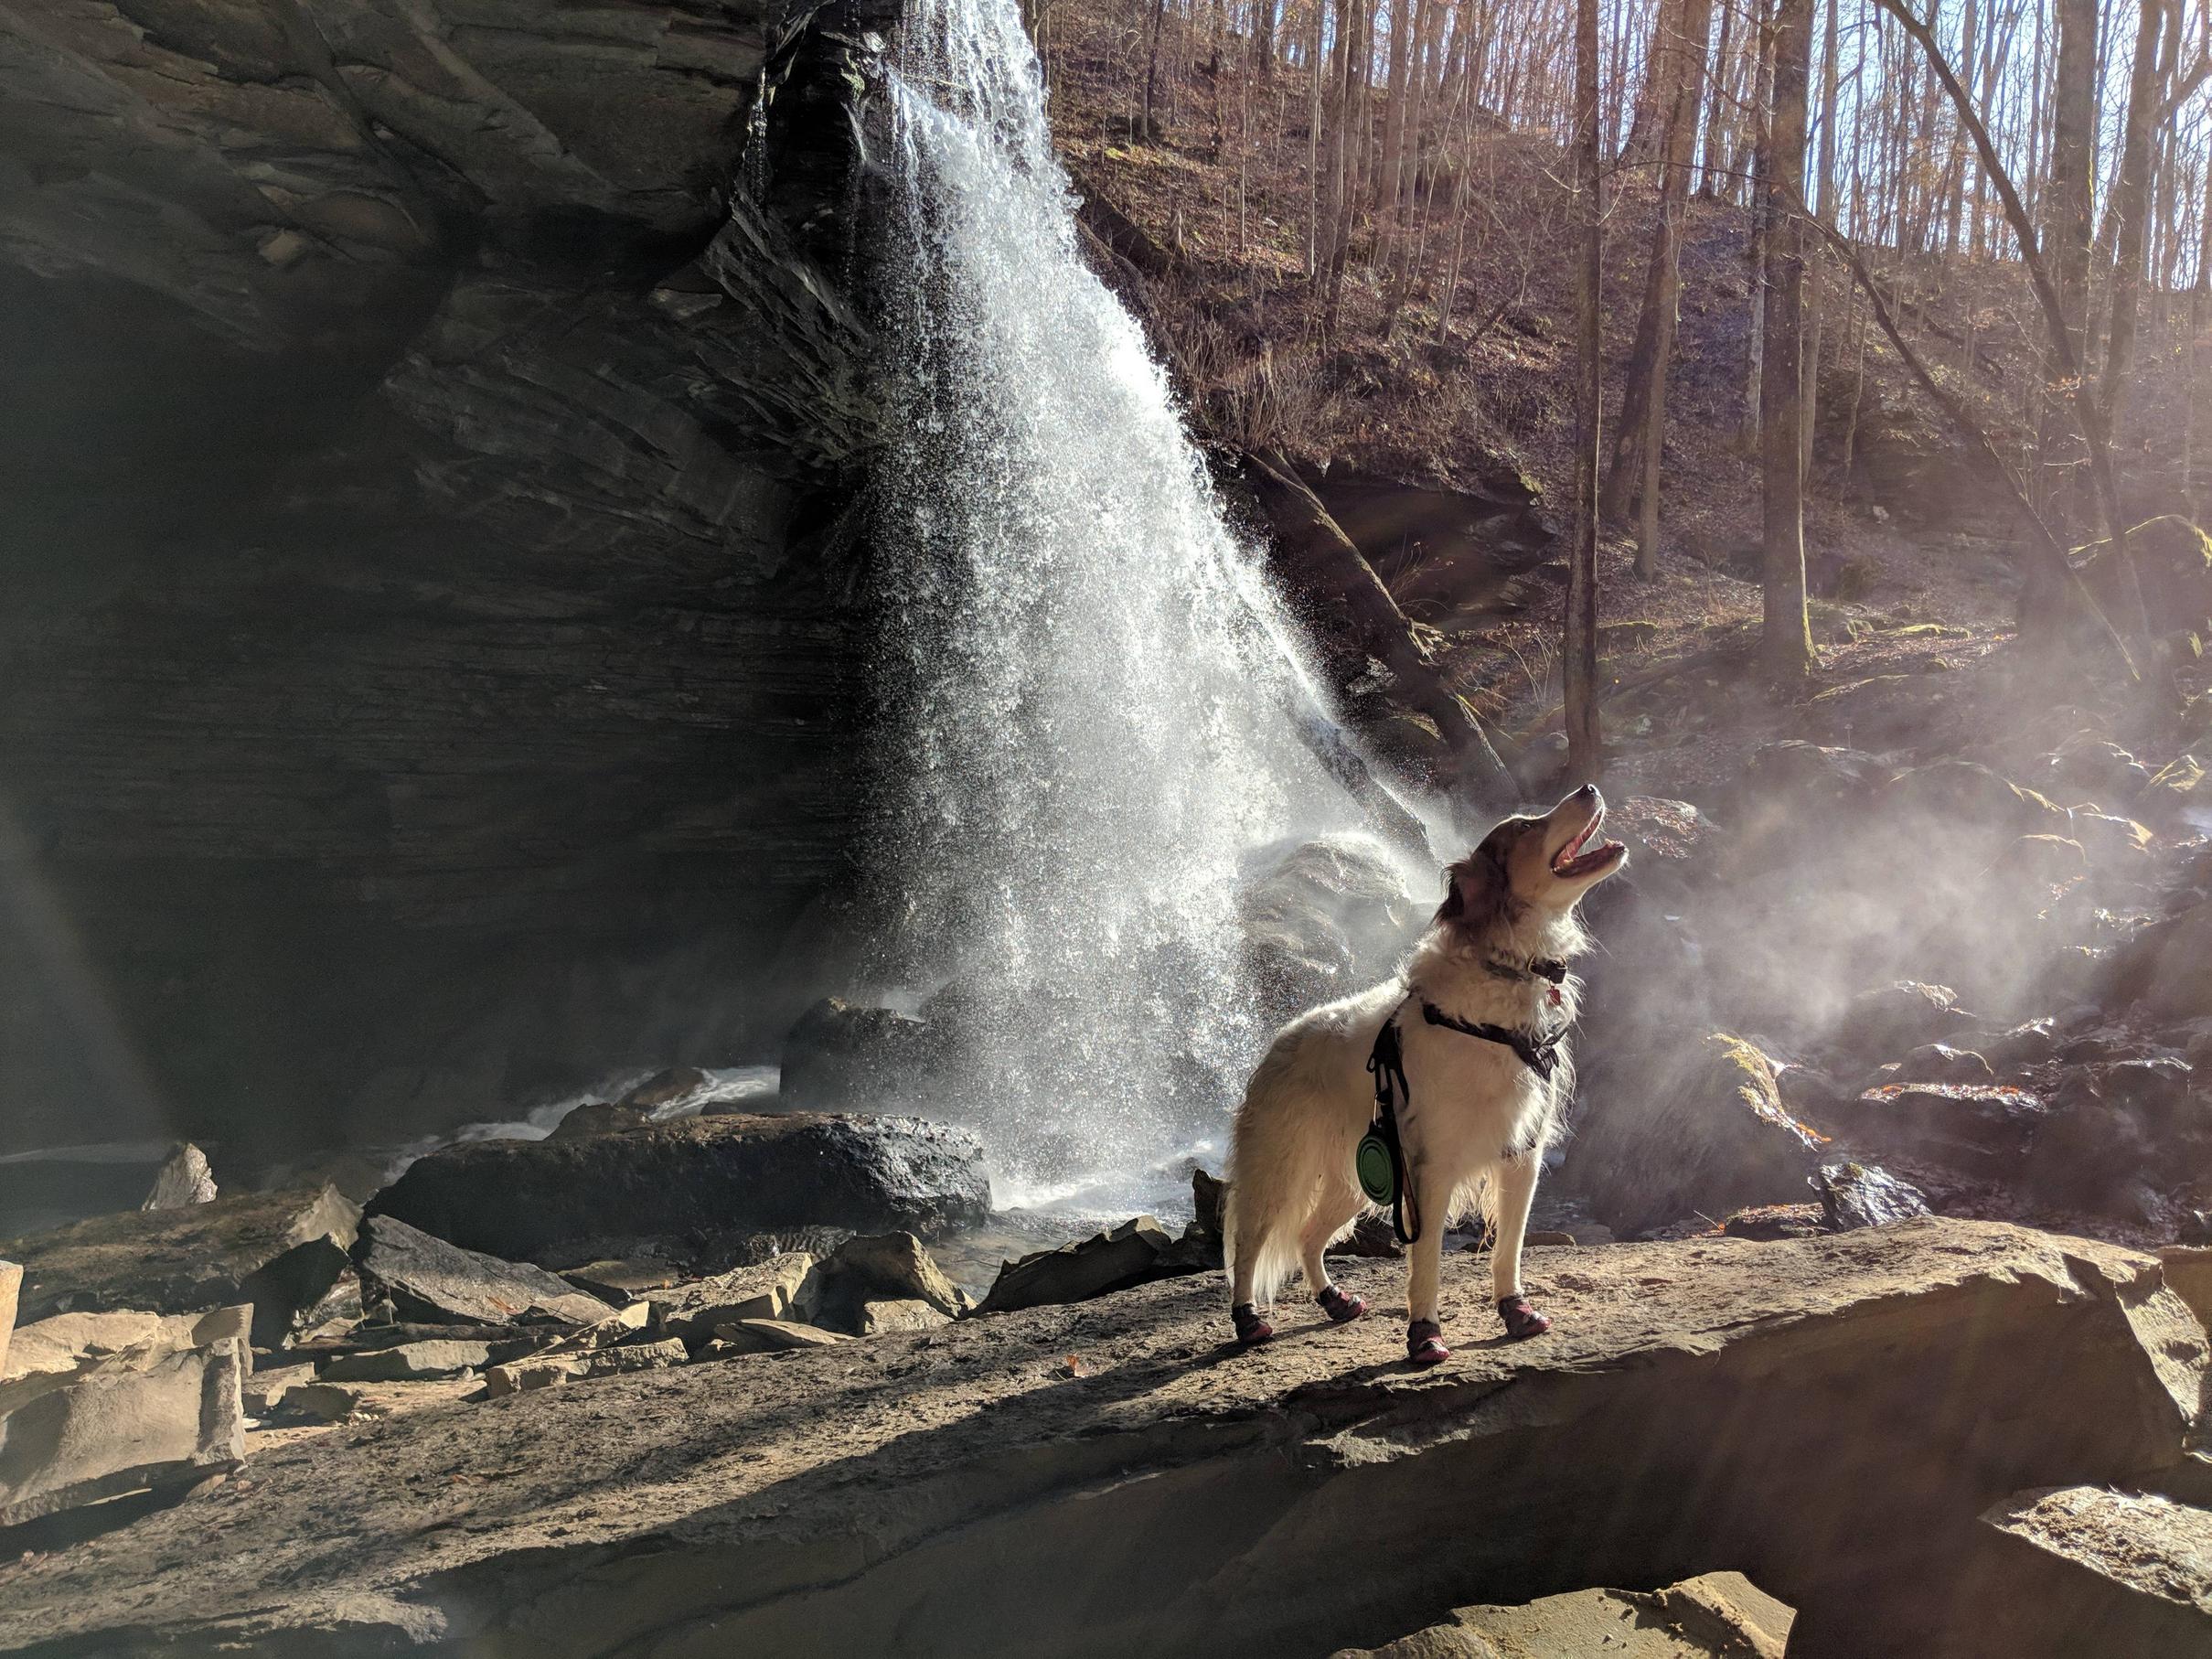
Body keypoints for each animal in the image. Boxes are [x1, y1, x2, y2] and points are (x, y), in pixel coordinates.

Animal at [1229, 787, 1628, 1371]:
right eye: (1527, 826)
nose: (1590, 790)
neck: (1505, 972)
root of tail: (1280, 1038)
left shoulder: (1521, 1156)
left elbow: (1508, 1248)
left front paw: (1515, 1311)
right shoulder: (1432, 1169)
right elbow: (1428, 1264)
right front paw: (1424, 1336)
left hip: (1363, 1174)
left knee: (1306, 1236)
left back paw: (1334, 1300)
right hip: (1284, 1167)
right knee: (1249, 1245)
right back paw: (1248, 1320)